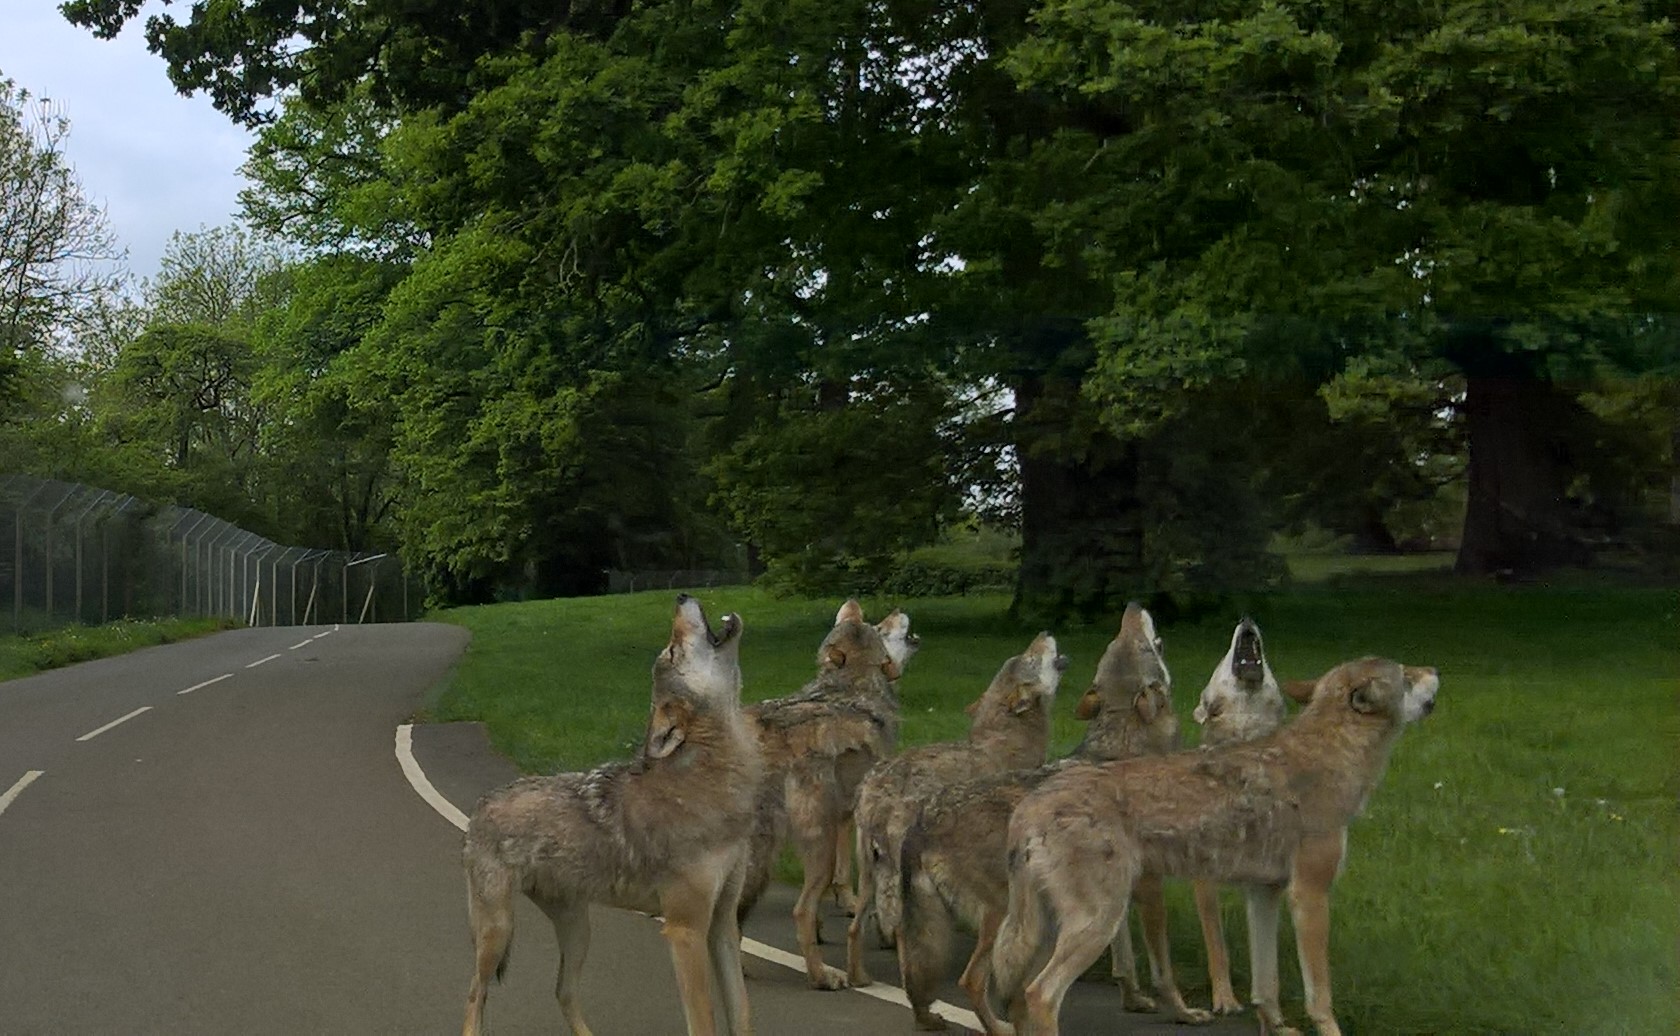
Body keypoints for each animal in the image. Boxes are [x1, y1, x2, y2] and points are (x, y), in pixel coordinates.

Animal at [460, 595, 762, 1036]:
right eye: (673, 650)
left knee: (563, 991)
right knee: (475, 993)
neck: (709, 777)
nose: (680, 597)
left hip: (578, 929)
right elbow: (703, 1021)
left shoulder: (723, 926)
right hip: (498, 933)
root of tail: (480, 805)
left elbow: (741, 1015)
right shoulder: (685, 931)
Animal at [845, 632, 1067, 988]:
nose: (1044, 633)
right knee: (901, 931)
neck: (1006, 743)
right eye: (1031, 658)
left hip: (868, 874)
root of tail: (876, 788)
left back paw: (859, 978)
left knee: (854, 928)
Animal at [992, 657, 1440, 1036]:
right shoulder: (1310, 896)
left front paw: (1276, 1028)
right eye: (1406, 673)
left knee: (1018, 997)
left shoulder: (1263, 895)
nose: (1435, 669)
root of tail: (1030, 806)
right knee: (1040, 995)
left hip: (1052, 930)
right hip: (1096, 924)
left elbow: (1266, 987)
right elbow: (1320, 997)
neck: (1329, 757)